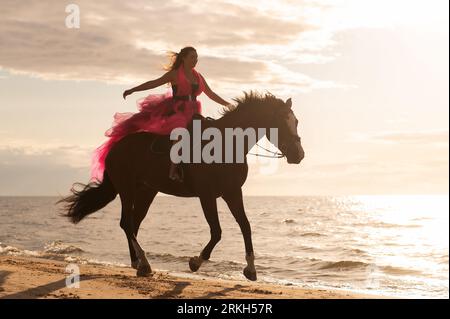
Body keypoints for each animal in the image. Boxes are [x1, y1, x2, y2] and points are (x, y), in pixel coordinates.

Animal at [56, 91, 304, 282]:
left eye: (296, 122)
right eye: (282, 122)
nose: (299, 155)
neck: (226, 145)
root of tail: (115, 148)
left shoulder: (232, 192)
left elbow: (246, 226)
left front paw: (251, 269)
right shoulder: (207, 195)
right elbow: (217, 231)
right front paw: (195, 262)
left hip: (147, 190)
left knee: (134, 222)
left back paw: (138, 264)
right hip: (127, 189)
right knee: (126, 222)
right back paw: (144, 263)